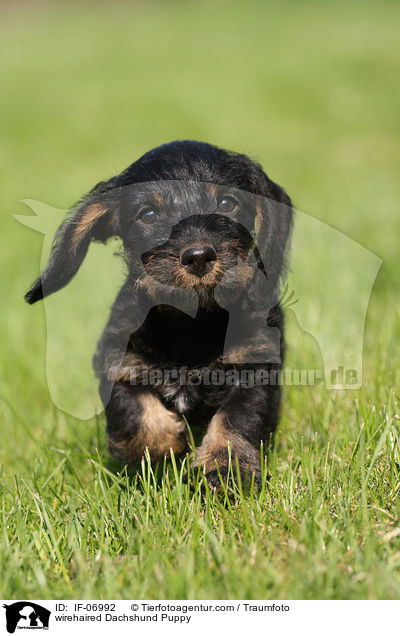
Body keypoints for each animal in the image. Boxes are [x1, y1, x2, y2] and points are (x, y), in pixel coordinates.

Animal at [25, 140, 294, 486]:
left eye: (227, 202)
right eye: (148, 214)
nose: (198, 256)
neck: (192, 327)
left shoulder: (256, 365)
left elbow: (236, 419)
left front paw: (222, 468)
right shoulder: (119, 361)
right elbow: (137, 414)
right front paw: (166, 444)